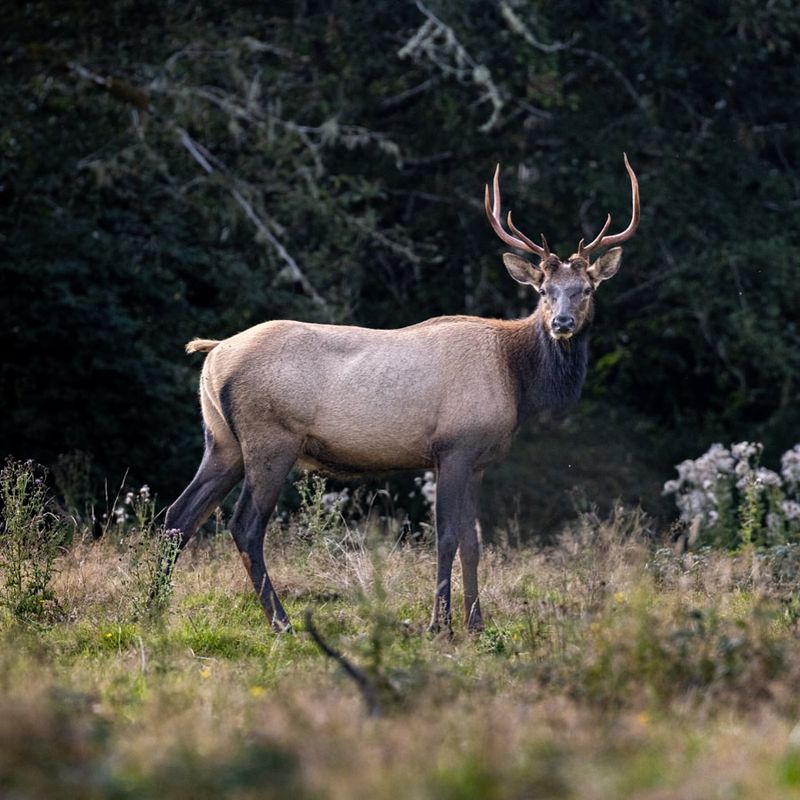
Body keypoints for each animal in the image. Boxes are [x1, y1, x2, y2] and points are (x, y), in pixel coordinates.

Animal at [166, 155, 640, 632]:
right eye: (543, 291)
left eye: (586, 290)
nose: (562, 323)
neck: (516, 379)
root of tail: (213, 353)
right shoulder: (454, 447)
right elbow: (447, 536)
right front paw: (440, 625)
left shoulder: (479, 460)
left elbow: (473, 541)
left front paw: (476, 624)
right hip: (271, 438)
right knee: (244, 525)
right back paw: (282, 622)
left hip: (222, 441)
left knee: (178, 515)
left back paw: (155, 607)